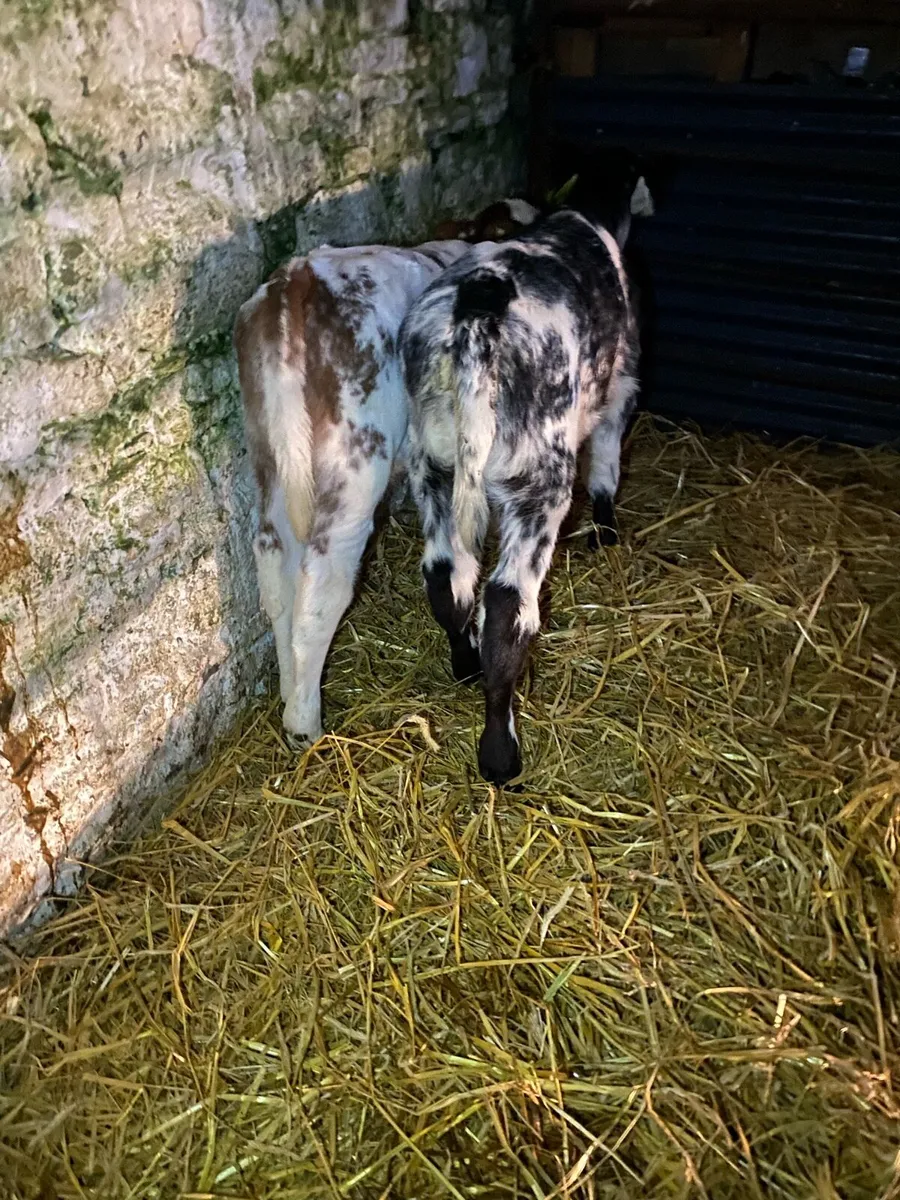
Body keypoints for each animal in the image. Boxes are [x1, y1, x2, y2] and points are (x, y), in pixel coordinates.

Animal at [234, 200, 539, 744]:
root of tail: (297, 279)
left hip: (271, 453)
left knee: (274, 568)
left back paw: (291, 696)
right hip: (356, 456)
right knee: (323, 582)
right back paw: (306, 727)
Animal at [398, 164, 654, 785]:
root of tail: (478, 313)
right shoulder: (622, 386)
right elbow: (607, 467)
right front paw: (606, 532)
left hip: (431, 463)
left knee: (446, 576)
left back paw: (463, 663)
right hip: (539, 479)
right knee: (508, 608)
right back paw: (500, 755)